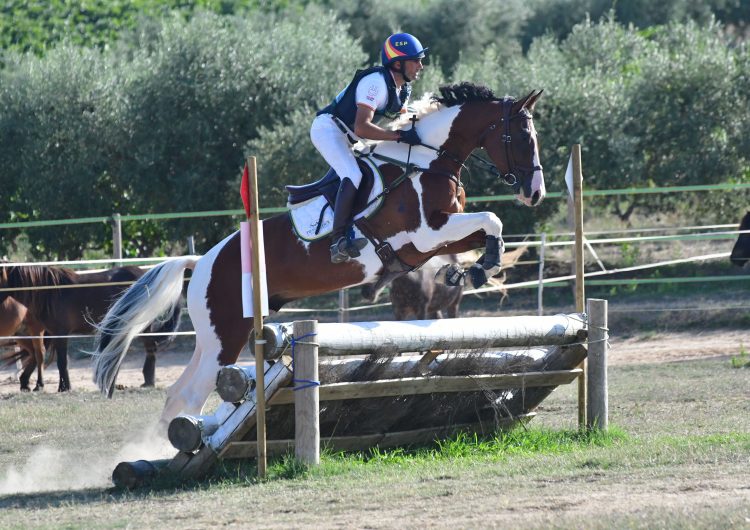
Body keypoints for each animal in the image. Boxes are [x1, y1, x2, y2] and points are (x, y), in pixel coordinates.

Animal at [0, 262, 182, 390]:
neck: (51, 292)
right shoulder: (53, 333)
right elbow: (59, 361)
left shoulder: (60, 333)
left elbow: (62, 362)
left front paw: (64, 388)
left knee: (150, 348)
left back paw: (148, 381)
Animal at [92, 82, 548, 428]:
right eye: (522, 138)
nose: (535, 194)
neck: (427, 162)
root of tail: (202, 261)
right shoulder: (423, 233)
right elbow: (491, 217)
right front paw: (481, 267)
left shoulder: (437, 240)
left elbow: (486, 229)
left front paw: (475, 269)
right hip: (226, 334)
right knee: (190, 396)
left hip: (214, 336)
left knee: (178, 393)